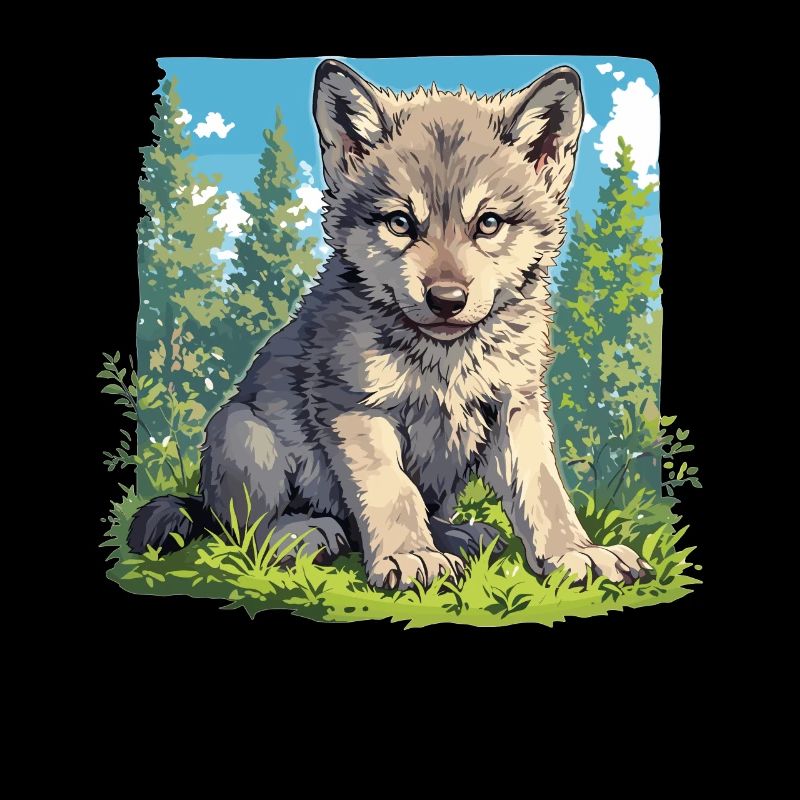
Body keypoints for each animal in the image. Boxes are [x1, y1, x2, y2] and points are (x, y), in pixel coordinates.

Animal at [129, 60, 652, 589]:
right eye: (400, 223)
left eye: (488, 224)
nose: (446, 300)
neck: (446, 359)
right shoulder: (359, 411)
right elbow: (392, 492)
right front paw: (410, 556)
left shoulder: (517, 407)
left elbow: (544, 491)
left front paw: (576, 554)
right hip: (242, 433)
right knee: (244, 530)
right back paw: (304, 534)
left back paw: (457, 535)